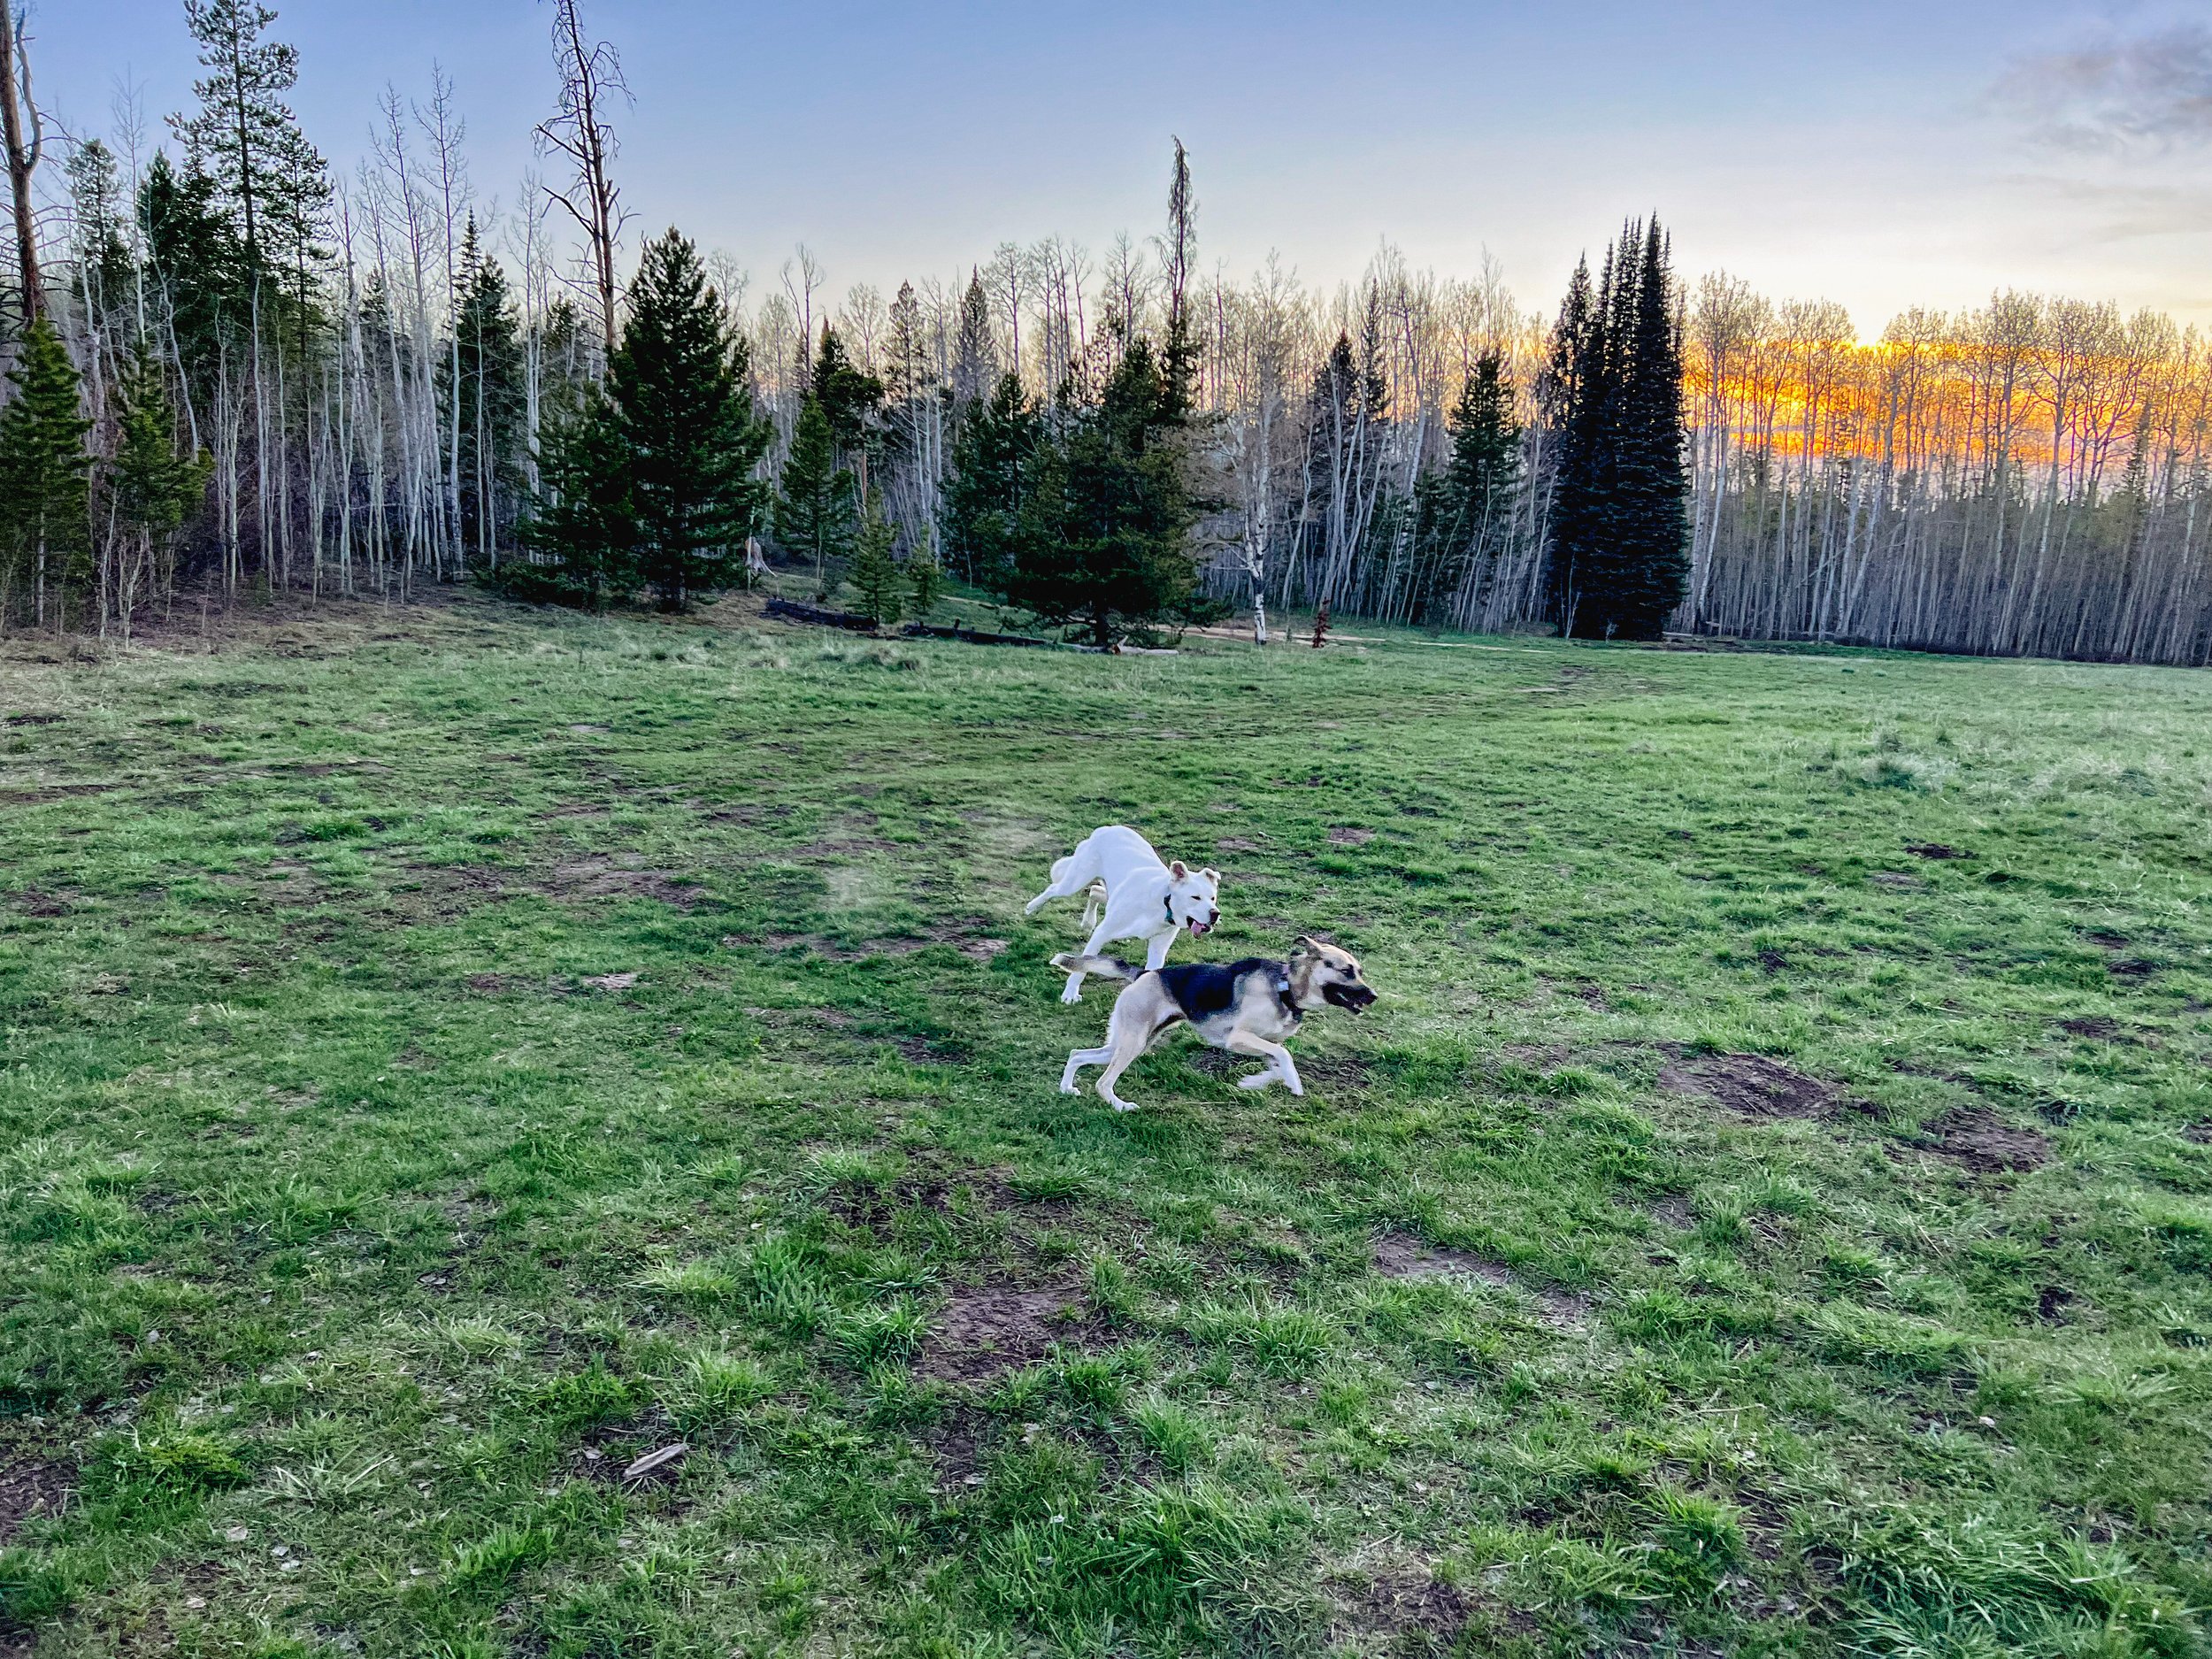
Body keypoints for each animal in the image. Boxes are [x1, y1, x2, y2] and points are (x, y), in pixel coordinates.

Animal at [1022, 827, 1221, 1009]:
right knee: (1054, 889)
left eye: (1213, 898)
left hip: (1107, 891)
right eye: (1195, 897)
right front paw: (1070, 993)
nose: (1215, 914)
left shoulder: (1158, 949)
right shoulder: (1103, 933)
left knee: (1094, 891)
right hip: (1075, 881)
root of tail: (1105, 829)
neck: (1162, 902)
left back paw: (1088, 921)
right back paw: (1033, 907)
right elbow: (1082, 965)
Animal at [1044, 942, 1371, 1110]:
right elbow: (1285, 1057)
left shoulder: (1265, 1044)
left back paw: (1066, 1089)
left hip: (1130, 1042)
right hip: (1133, 1043)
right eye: (1346, 971)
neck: (1285, 988)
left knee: (1077, 1055)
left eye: (1360, 971)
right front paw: (1295, 1084)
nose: (1374, 996)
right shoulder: (1239, 1038)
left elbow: (1277, 1065)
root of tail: (1145, 973)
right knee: (1103, 1081)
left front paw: (1252, 1083)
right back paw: (1120, 1105)